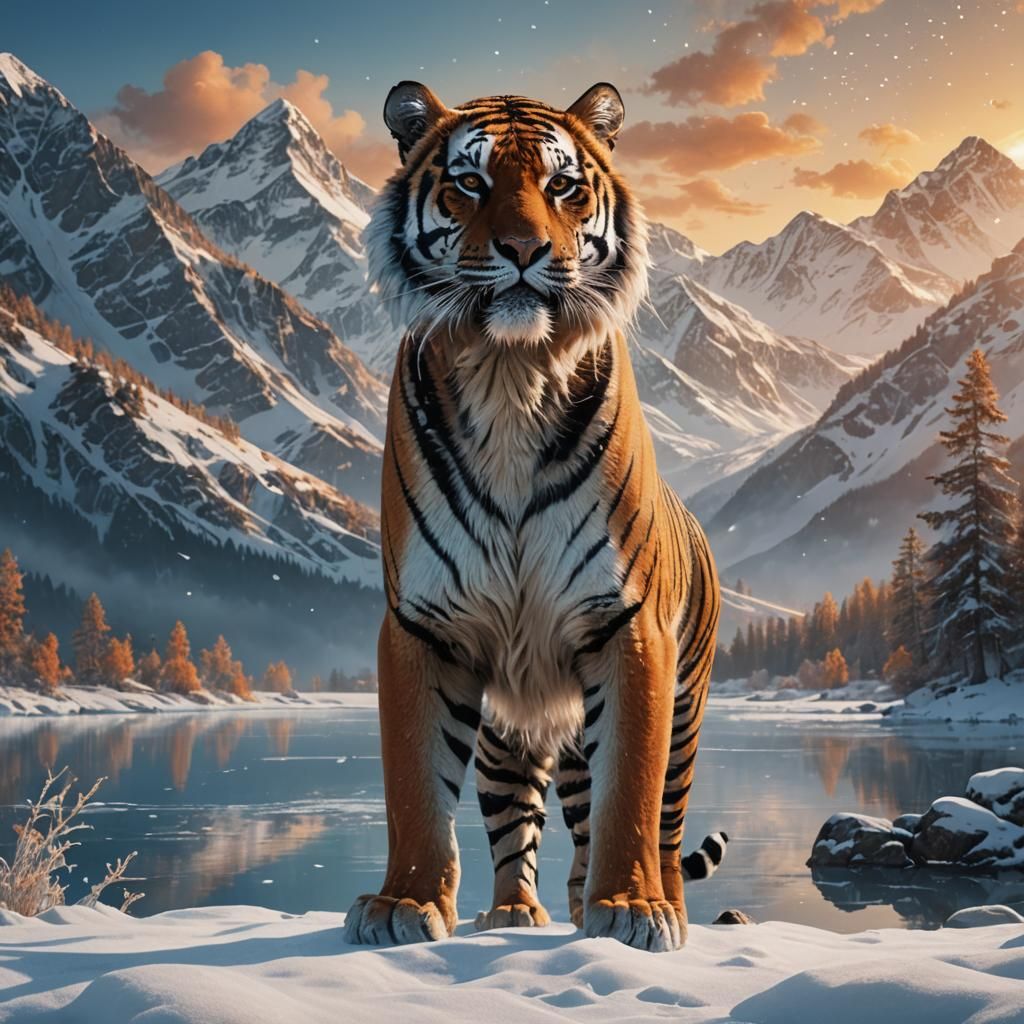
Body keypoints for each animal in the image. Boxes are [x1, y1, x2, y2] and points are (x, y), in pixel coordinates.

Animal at [343, 81, 723, 953]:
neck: (511, 374)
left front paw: (633, 910)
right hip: (507, 729)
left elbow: (629, 793)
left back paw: (648, 904)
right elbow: (414, 784)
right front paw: (403, 904)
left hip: (686, 705)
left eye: (564, 187)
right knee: (520, 816)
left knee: (664, 820)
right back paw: (518, 911)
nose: (523, 249)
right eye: (470, 183)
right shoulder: (423, 626)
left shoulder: (628, 626)